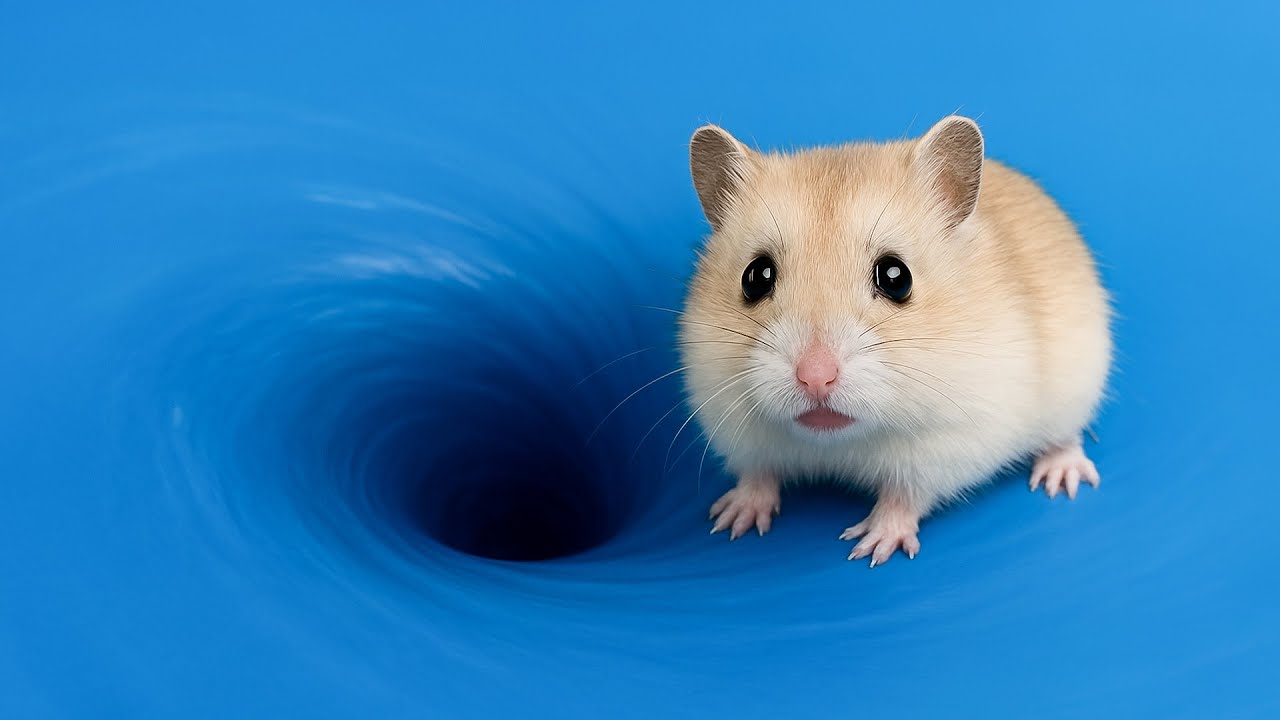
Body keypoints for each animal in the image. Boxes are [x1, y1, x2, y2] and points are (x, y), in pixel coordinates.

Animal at [679, 115, 1111, 566]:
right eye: (756, 277)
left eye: (895, 277)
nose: (815, 378)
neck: (838, 441)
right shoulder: (738, 431)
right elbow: (758, 475)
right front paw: (729, 521)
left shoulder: (948, 446)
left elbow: (904, 497)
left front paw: (870, 547)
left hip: (1075, 393)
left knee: (1067, 438)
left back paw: (1063, 478)